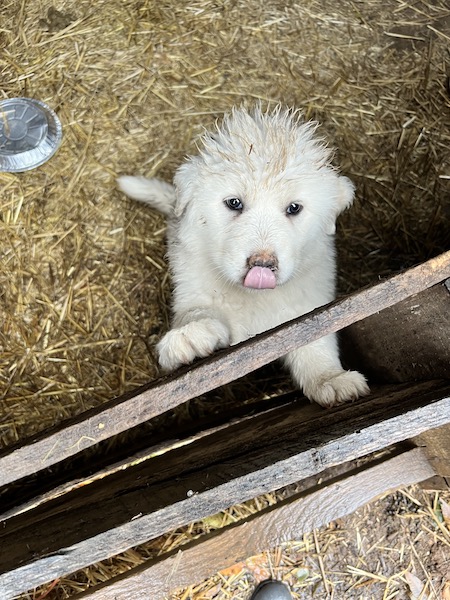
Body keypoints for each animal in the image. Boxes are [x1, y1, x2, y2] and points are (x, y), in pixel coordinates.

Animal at [118, 106, 370, 408]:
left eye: (294, 208)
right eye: (234, 203)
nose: (262, 265)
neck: (253, 299)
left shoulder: (309, 304)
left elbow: (315, 341)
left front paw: (331, 379)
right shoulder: (194, 290)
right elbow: (197, 311)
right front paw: (190, 335)